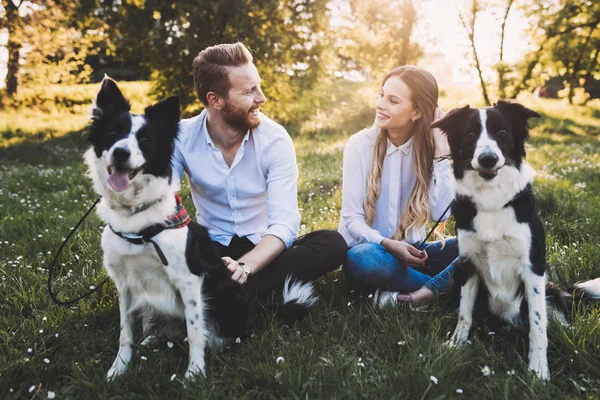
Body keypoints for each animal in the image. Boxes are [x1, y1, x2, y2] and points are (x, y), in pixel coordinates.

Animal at [86, 77, 318, 382]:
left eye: (145, 140)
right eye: (113, 132)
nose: (121, 153)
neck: (139, 222)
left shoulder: (189, 280)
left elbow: (196, 331)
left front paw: (195, 373)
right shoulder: (124, 283)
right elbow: (125, 333)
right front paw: (119, 369)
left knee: (220, 334)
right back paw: (154, 339)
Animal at [432, 101, 600, 382]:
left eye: (502, 131)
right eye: (470, 134)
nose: (488, 158)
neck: (491, 199)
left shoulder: (533, 267)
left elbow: (538, 325)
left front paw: (538, 369)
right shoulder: (467, 264)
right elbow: (464, 314)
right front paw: (456, 345)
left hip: (548, 288)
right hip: (457, 278)